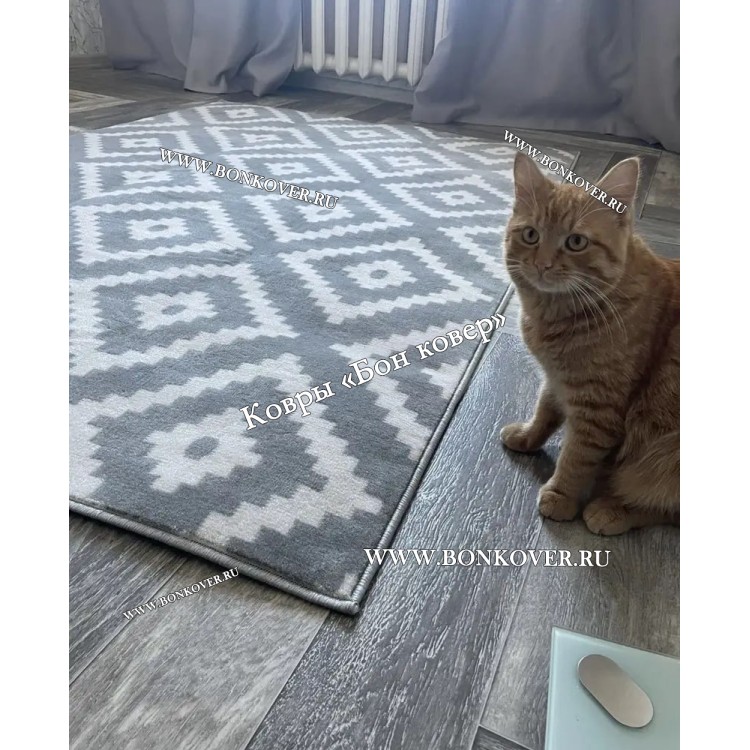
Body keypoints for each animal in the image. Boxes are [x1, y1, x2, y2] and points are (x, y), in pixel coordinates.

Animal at [501, 152, 679, 535]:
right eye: (531, 235)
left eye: (576, 242)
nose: (542, 264)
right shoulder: (557, 379)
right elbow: (545, 410)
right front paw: (527, 437)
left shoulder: (598, 406)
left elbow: (577, 457)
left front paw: (560, 495)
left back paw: (612, 510)